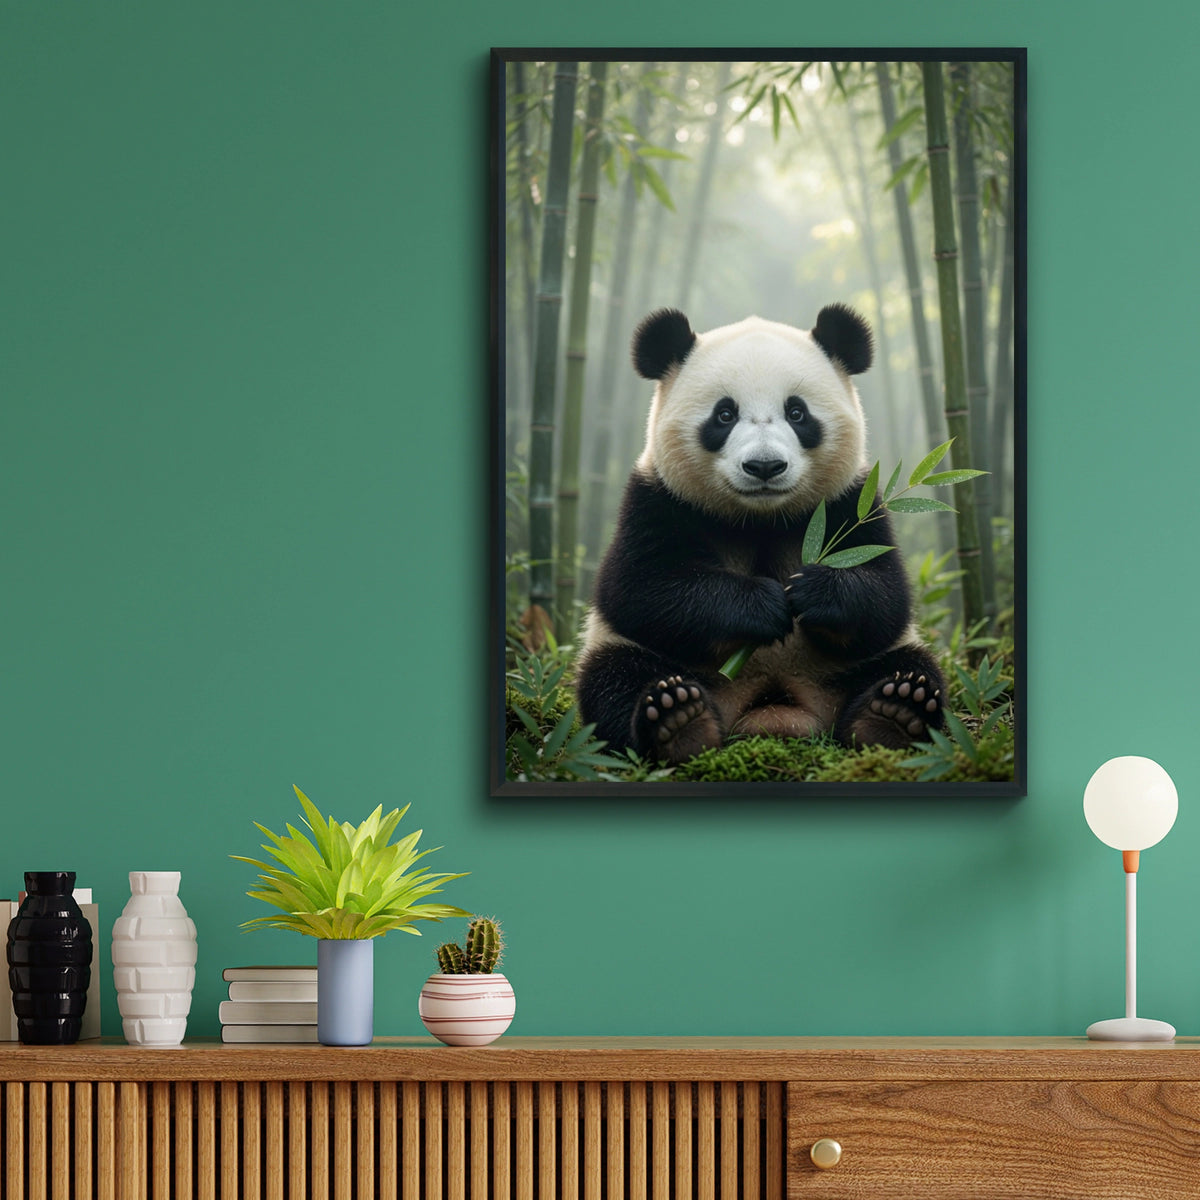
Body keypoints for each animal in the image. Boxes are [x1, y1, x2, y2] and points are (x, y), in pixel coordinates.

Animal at [574, 303, 945, 766]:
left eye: (797, 412)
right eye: (724, 414)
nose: (765, 466)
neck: (761, 519)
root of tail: (773, 708)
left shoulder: (851, 502)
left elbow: (886, 595)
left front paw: (814, 591)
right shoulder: (657, 499)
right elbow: (640, 588)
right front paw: (763, 604)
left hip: (853, 668)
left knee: (910, 666)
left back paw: (893, 712)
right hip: (639, 654)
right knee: (614, 676)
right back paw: (678, 721)